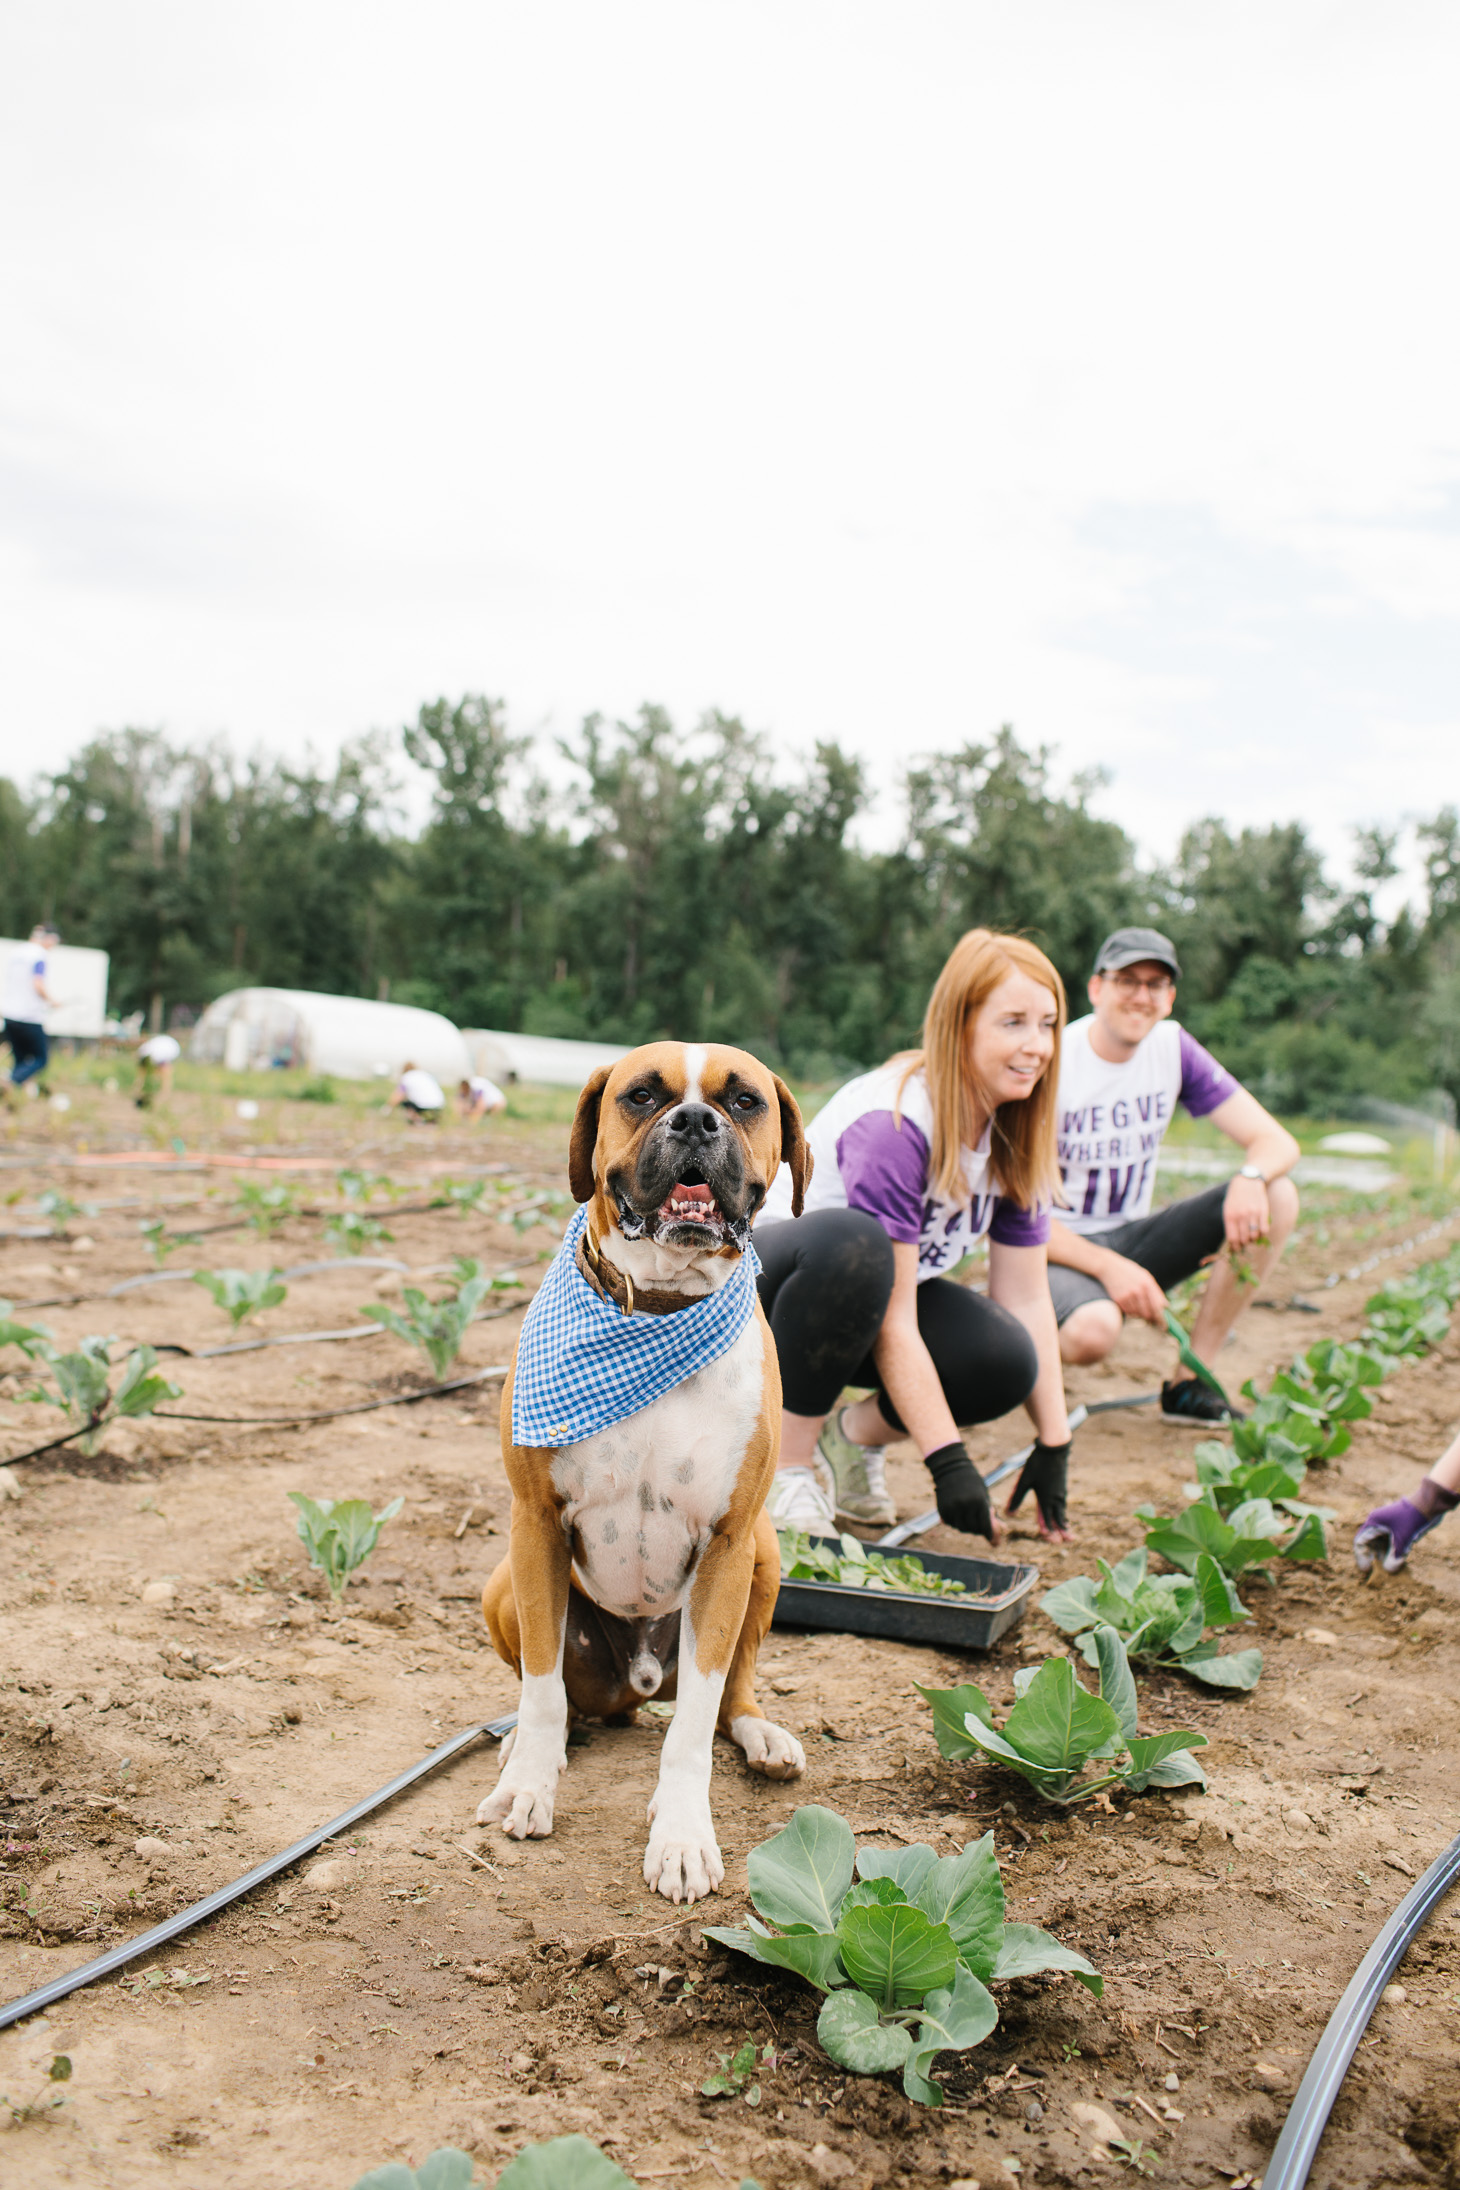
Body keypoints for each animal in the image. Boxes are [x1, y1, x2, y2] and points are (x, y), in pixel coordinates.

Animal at [479, 1038, 809, 1900]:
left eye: (744, 1101)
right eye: (642, 1096)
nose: (695, 1120)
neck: (660, 1309)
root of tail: (639, 1679)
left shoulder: (728, 1544)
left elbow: (693, 1725)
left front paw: (683, 1836)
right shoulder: (535, 1526)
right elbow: (540, 1688)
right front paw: (528, 1786)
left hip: (766, 1555)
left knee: (728, 1692)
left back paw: (759, 1735)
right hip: (504, 1583)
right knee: (564, 1699)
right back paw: (531, 1747)